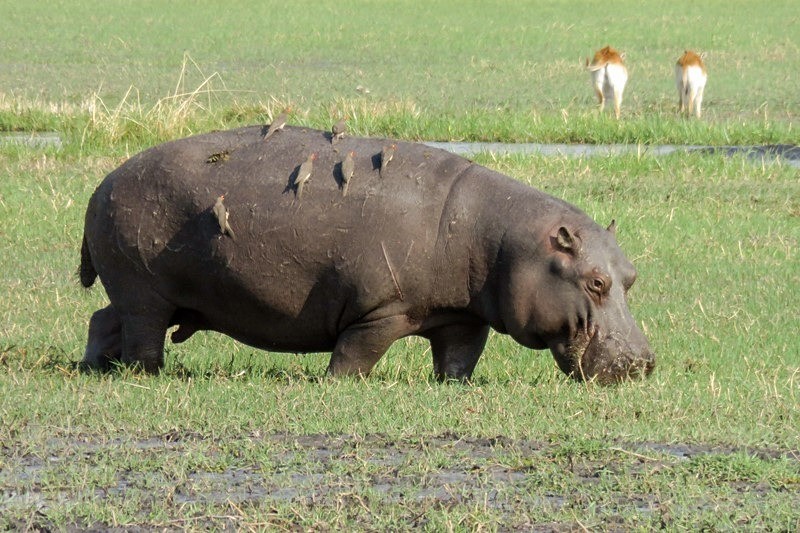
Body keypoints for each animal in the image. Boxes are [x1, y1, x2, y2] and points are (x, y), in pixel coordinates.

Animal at [79, 125, 655, 383]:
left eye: (630, 276)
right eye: (595, 282)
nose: (644, 362)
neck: (504, 241)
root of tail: (103, 182)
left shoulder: (463, 315)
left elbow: (459, 358)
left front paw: (452, 387)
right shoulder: (379, 312)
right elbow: (356, 353)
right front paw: (338, 385)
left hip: (141, 292)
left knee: (100, 318)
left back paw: (95, 369)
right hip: (145, 292)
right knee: (141, 334)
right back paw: (145, 374)